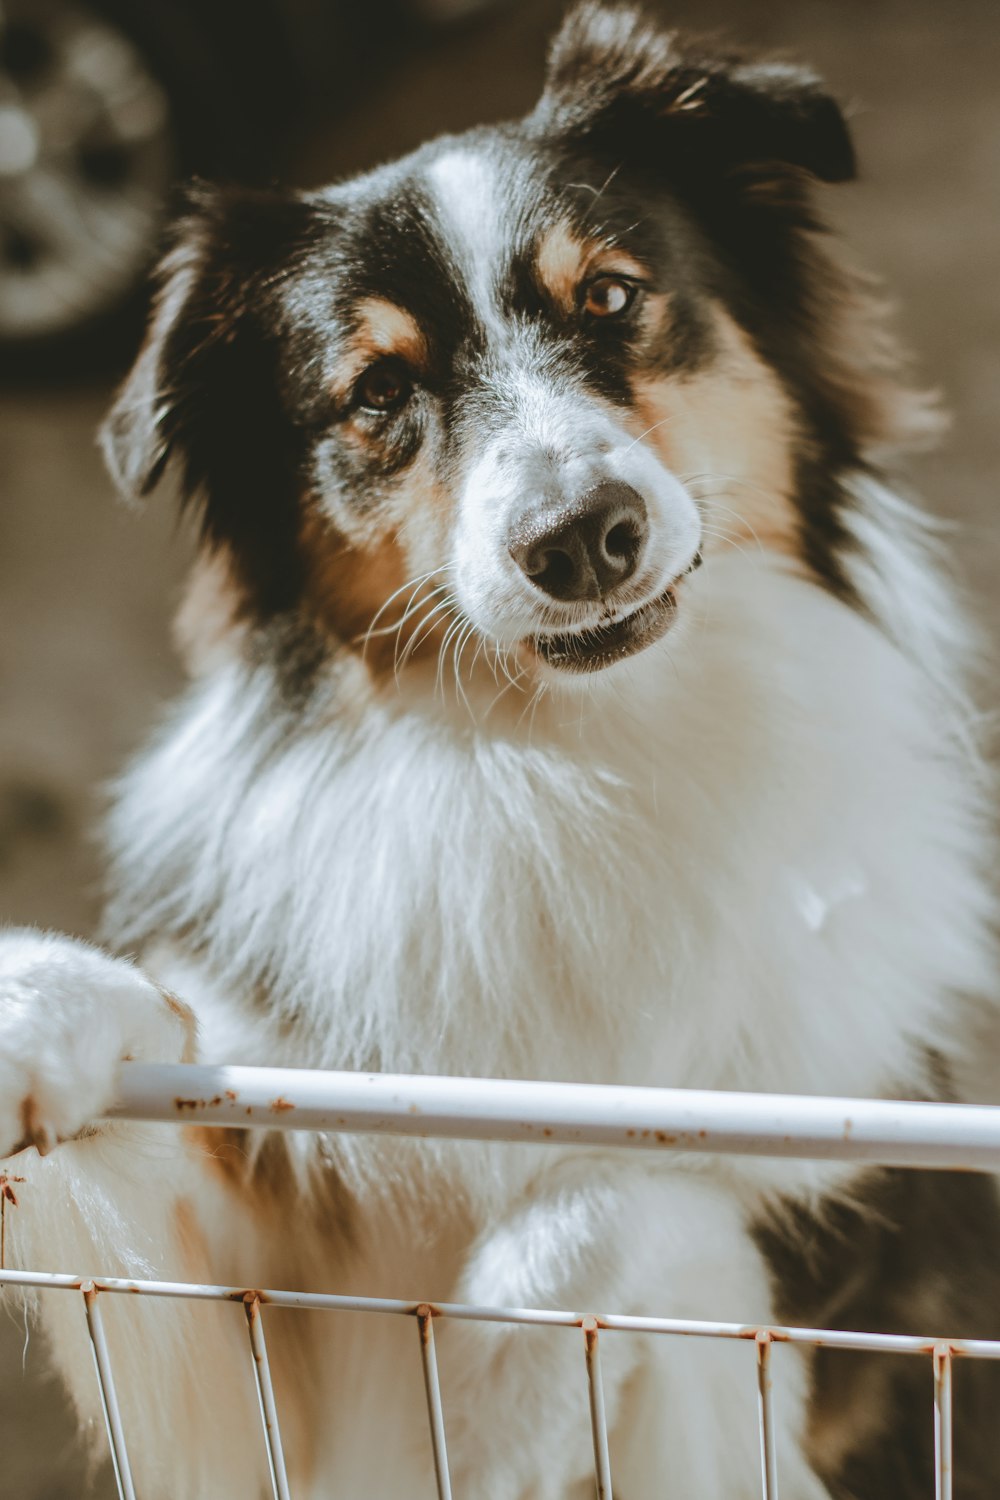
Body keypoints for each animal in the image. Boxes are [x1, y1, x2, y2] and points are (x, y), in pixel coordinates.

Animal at [1, 5, 1000, 1494]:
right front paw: (33, 1009)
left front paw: (493, 1403)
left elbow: (629, 1178)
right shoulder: (256, 1322)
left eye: (612, 298)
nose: (582, 537)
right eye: (377, 390)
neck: (563, 761)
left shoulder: (849, 1309)